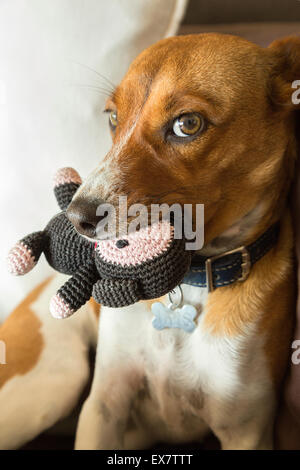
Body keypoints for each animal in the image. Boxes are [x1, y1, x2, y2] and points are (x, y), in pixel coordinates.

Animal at [0, 34, 300, 452]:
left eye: (188, 124)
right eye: (113, 117)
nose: (76, 218)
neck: (189, 283)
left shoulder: (247, 431)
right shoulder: (104, 408)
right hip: (52, 386)